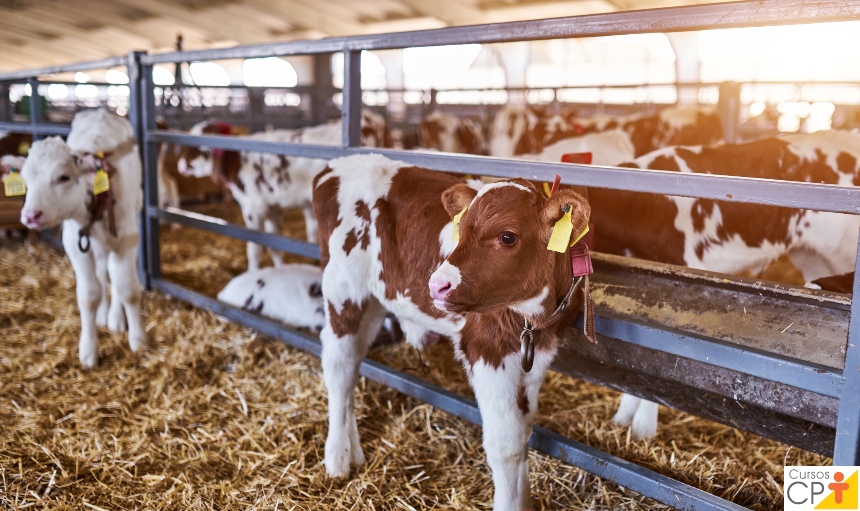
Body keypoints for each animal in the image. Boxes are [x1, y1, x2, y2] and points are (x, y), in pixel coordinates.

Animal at [18, 110, 145, 370]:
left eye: (64, 177)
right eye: (25, 179)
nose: (31, 216)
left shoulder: (127, 239)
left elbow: (127, 288)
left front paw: (138, 340)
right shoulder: (74, 244)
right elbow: (88, 295)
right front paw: (88, 350)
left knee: (112, 273)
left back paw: (115, 317)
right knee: (102, 272)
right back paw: (104, 313)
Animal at [180, 112, 392, 272]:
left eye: (195, 147)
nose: (180, 165)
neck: (238, 160)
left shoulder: (253, 209)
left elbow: (254, 248)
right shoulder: (273, 208)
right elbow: (275, 245)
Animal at [314, 153, 592, 511]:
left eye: (508, 237)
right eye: (460, 229)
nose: (435, 285)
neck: (532, 321)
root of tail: (338, 162)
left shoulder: (540, 353)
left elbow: (525, 427)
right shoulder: (486, 349)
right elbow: (507, 444)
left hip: (374, 297)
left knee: (353, 363)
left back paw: (353, 450)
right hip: (343, 288)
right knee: (338, 364)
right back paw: (337, 456)